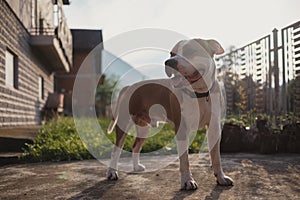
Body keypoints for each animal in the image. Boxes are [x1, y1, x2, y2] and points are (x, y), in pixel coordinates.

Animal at [106, 38, 233, 190]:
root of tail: (129, 86)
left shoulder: (214, 127)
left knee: (135, 145)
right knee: (116, 150)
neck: (199, 94)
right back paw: (112, 172)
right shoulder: (182, 129)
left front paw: (221, 177)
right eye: (171, 54)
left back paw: (136, 166)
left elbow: (216, 157)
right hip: (123, 124)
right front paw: (187, 180)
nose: (169, 62)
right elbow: (184, 160)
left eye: (191, 50)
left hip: (143, 128)